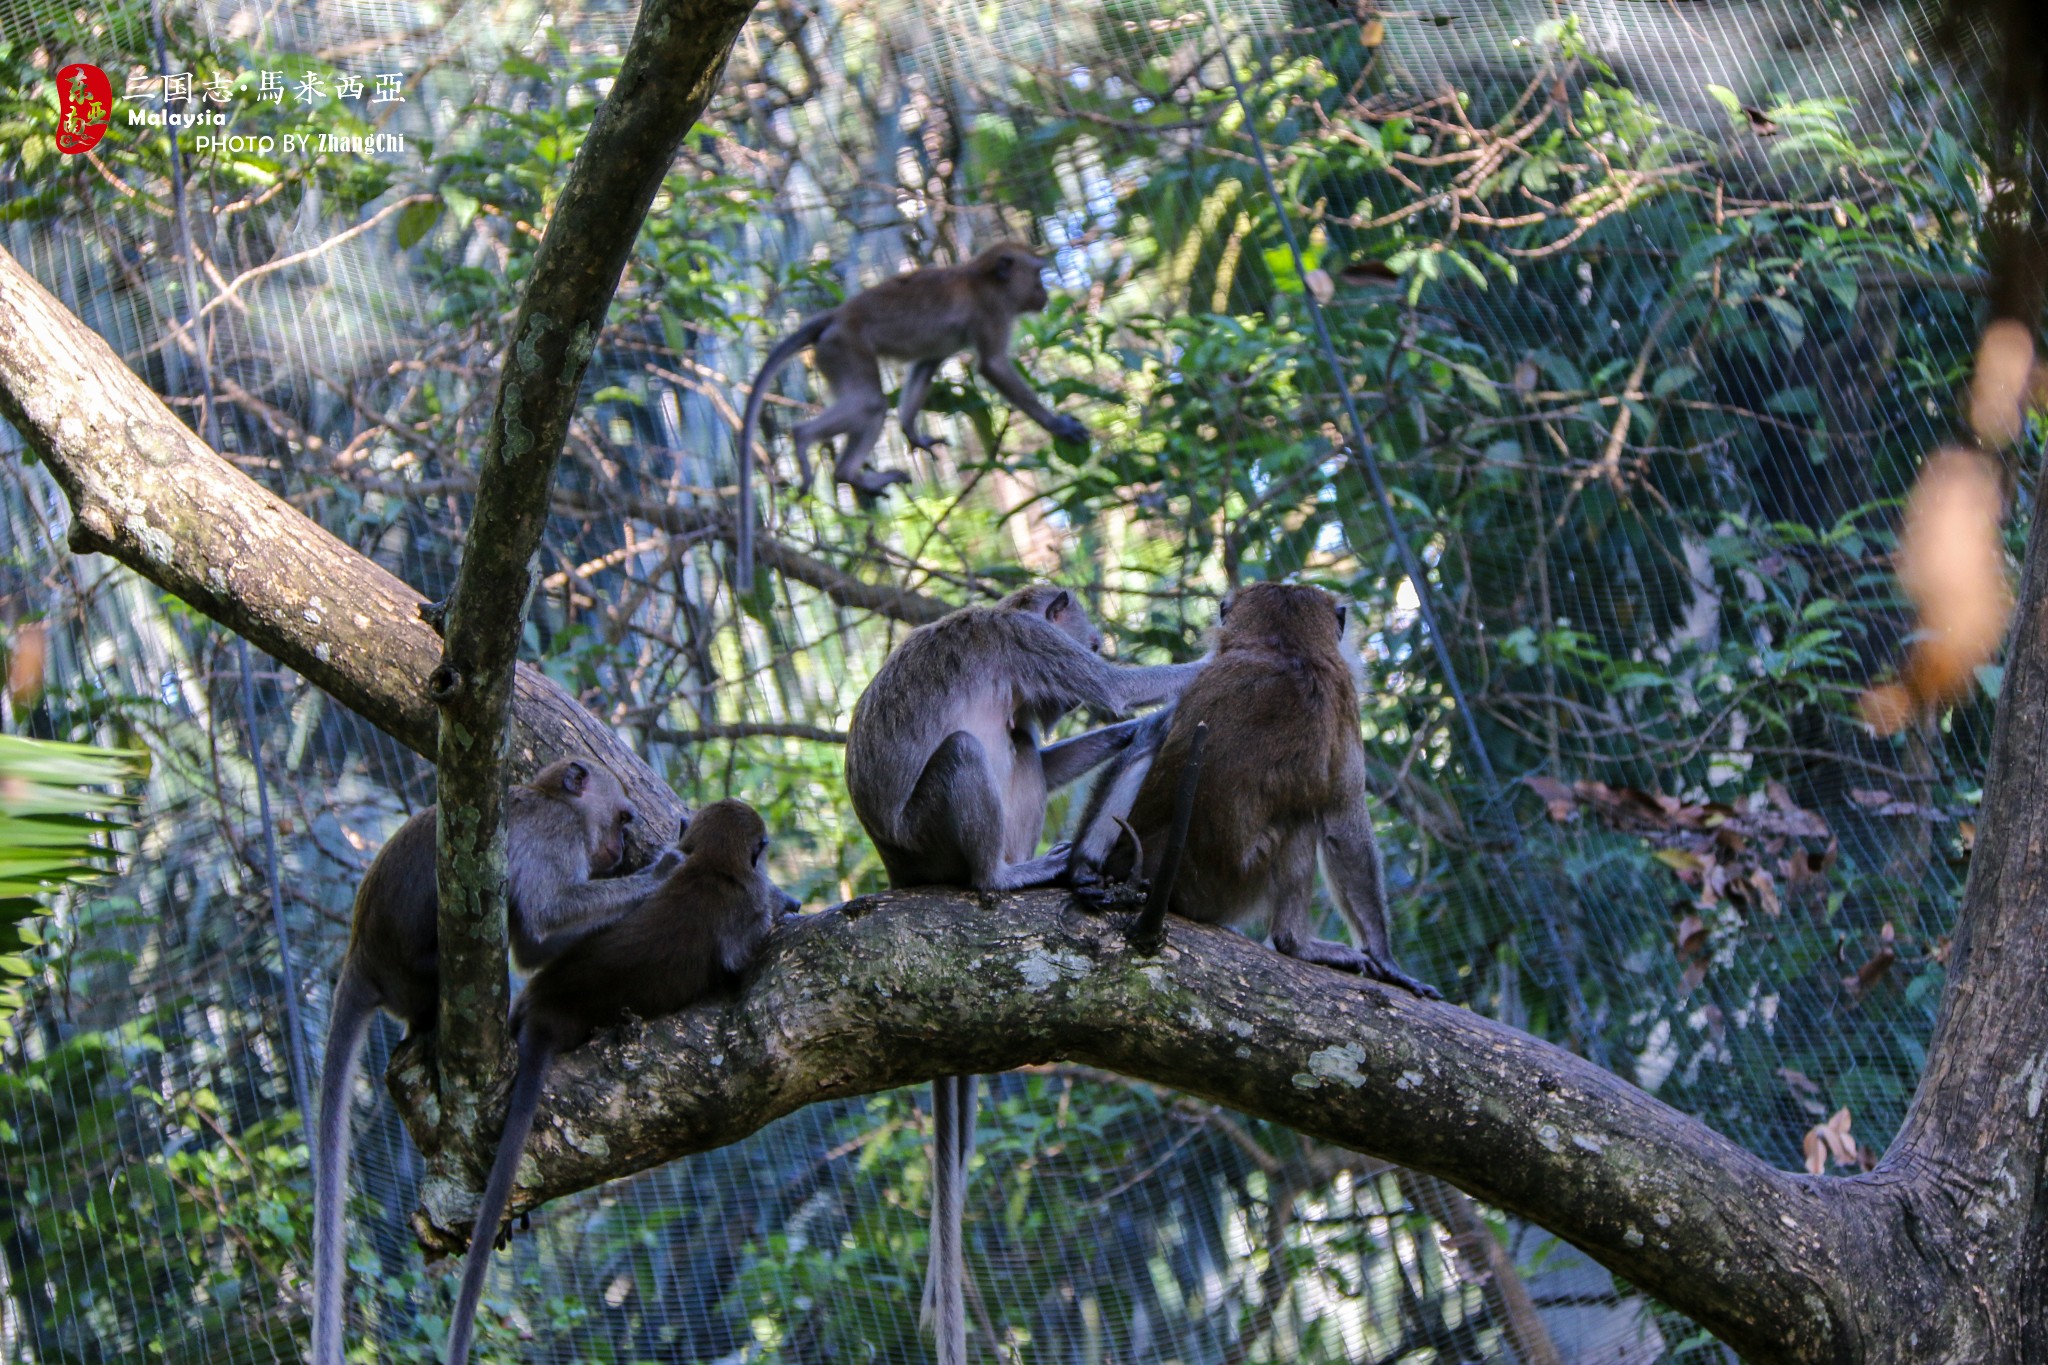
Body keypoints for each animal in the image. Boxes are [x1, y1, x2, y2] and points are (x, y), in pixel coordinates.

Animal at [311, 757, 675, 1365]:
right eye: (624, 818)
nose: (622, 847)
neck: (550, 797)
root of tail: (360, 954)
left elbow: (534, 939)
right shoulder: (556, 837)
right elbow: (544, 915)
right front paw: (664, 874)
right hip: (419, 968)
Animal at [733, 241, 1089, 593]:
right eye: (1037, 274)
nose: (1043, 292)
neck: (984, 279)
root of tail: (838, 314)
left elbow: (927, 364)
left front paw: (913, 433)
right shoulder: (991, 313)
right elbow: (994, 367)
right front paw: (1058, 425)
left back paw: (850, 473)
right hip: (844, 347)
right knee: (870, 403)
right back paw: (807, 441)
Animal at [1073, 581, 1441, 998]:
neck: (1283, 648)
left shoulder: (1200, 676)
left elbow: (1144, 742)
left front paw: (1080, 868)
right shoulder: (1343, 698)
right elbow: (1343, 826)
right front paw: (1385, 958)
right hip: (1232, 884)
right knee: (1302, 819)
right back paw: (1294, 943)